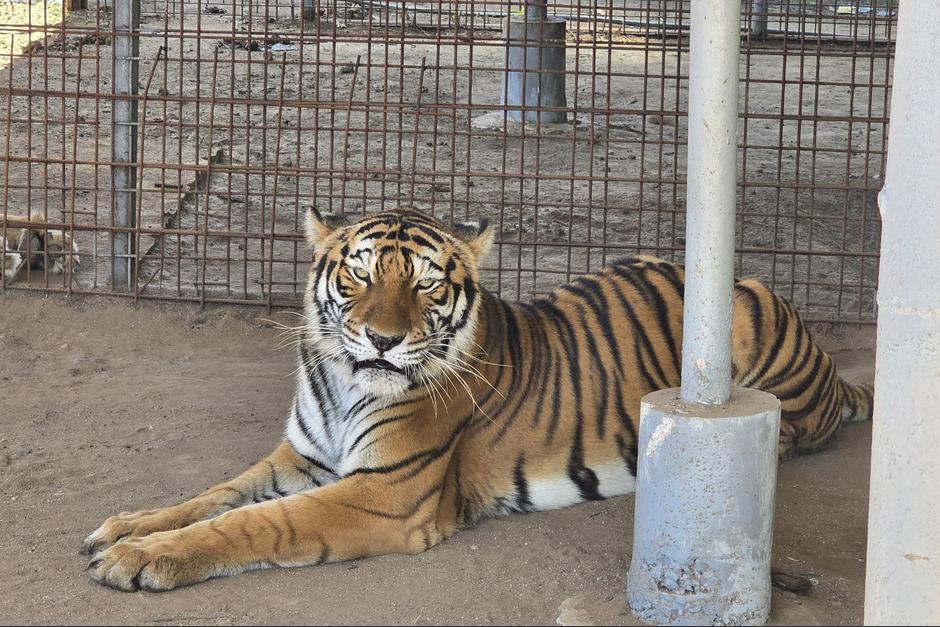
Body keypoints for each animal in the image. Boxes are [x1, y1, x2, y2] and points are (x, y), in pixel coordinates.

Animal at [82, 206, 873, 592]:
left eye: (427, 283)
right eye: (358, 273)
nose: (380, 339)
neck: (343, 382)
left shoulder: (385, 493)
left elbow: (254, 523)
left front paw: (141, 558)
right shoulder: (303, 457)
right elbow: (213, 495)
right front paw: (124, 526)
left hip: (749, 323)